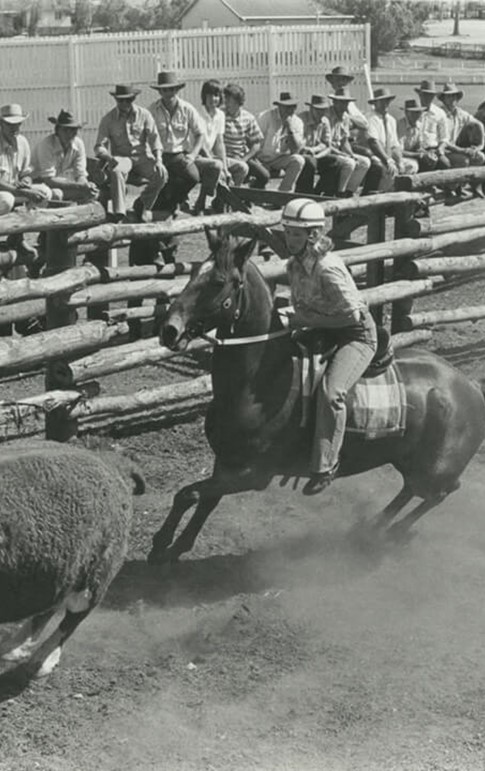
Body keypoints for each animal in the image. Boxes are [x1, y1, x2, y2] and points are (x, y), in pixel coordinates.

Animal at [0, 438, 144, 680]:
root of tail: (108, 463)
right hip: (59, 569)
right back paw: (15, 647)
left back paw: (41, 660)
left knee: (72, 618)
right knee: (49, 606)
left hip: (96, 574)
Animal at [148, 232, 485, 564]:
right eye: (193, 274)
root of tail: (470, 387)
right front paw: (178, 546)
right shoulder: (227, 460)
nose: (169, 330)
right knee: (414, 489)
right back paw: (373, 527)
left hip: (434, 468)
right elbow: (207, 499)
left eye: (218, 281)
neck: (262, 380)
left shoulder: (254, 474)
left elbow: (189, 494)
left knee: (438, 492)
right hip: (409, 461)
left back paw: (389, 532)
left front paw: (160, 545)